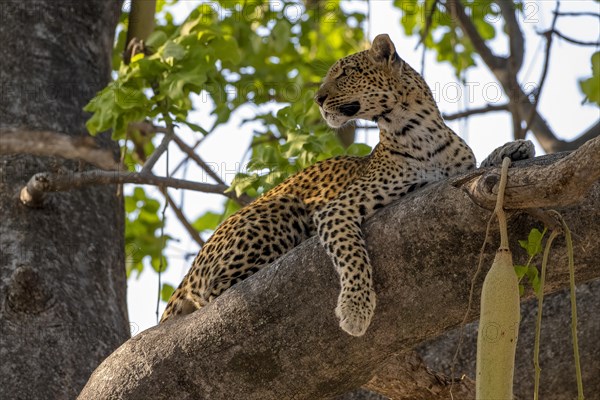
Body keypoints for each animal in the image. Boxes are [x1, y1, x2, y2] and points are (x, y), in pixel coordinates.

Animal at [161, 33, 536, 338]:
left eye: (345, 73)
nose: (317, 98)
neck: (420, 131)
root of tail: (190, 271)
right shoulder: (336, 209)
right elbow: (353, 256)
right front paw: (356, 309)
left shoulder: (455, 174)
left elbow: (480, 166)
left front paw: (515, 147)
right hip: (281, 206)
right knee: (217, 291)